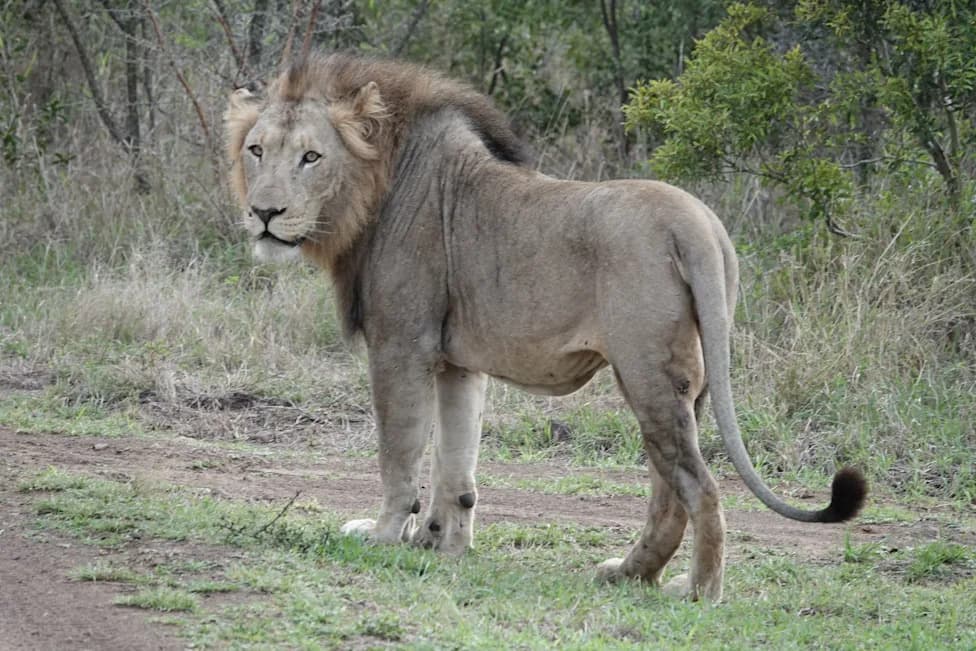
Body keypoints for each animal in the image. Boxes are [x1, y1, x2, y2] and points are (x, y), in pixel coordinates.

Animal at [224, 52, 866, 602]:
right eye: (256, 150)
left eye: (311, 157)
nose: (264, 213)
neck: (377, 185)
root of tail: (698, 225)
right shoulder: (456, 362)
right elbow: (456, 464)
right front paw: (440, 544)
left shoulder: (400, 344)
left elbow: (399, 453)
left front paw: (384, 537)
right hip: (689, 383)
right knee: (669, 490)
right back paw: (630, 574)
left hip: (647, 373)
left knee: (698, 487)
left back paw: (699, 592)